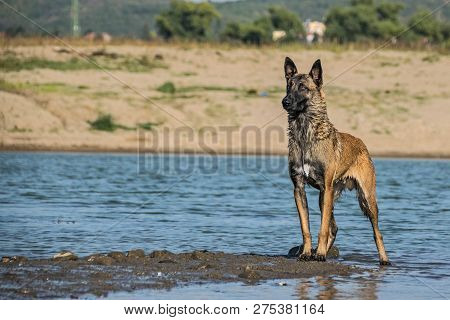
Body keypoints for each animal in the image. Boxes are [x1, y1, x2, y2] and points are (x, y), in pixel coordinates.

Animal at [282, 57, 390, 264]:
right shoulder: (299, 189)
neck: (305, 133)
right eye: (288, 86)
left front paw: (320, 254)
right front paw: (307, 253)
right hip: (325, 197)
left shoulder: (326, 187)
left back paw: (384, 258)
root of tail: (361, 143)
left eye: (302, 87)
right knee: (334, 227)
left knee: (377, 232)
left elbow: (322, 228)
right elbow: (306, 228)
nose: (285, 101)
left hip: (366, 198)